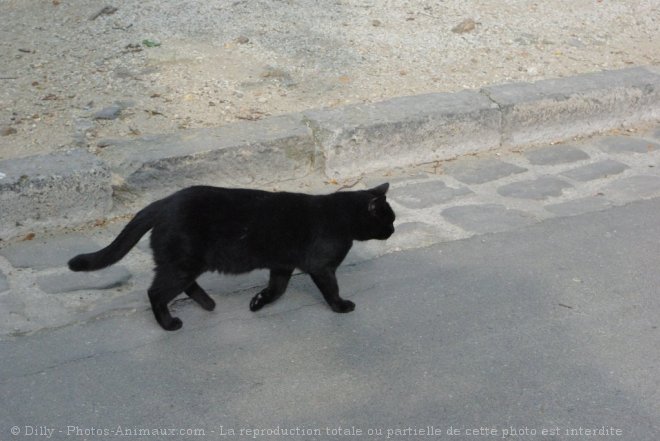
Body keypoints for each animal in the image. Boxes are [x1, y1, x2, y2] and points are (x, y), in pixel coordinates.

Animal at [69, 182, 394, 330]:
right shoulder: (322, 267)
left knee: (179, 285)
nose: (393, 229)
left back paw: (208, 304)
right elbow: (331, 290)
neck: (340, 217)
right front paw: (341, 306)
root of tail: (162, 203)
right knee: (156, 292)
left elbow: (276, 290)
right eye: (387, 219)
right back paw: (170, 323)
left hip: (185, 264)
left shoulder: (282, 265)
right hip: (183, 263)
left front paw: (257, 302)